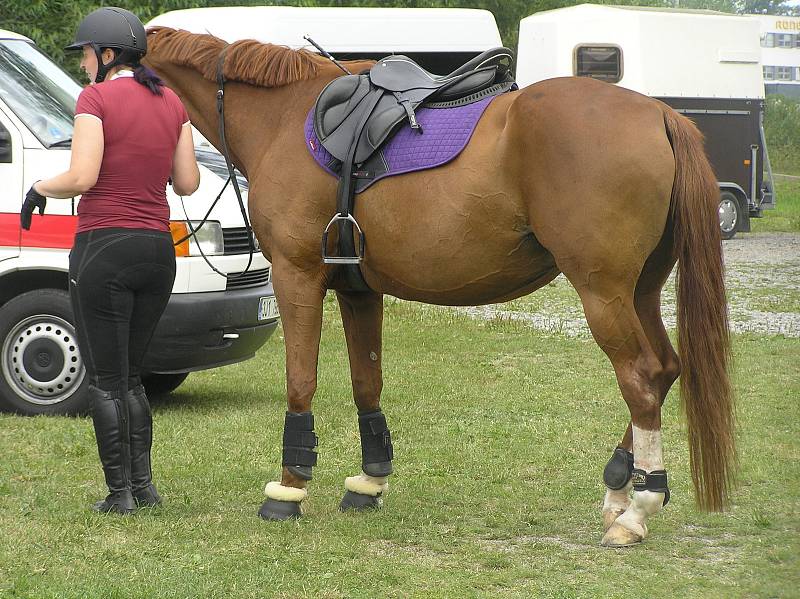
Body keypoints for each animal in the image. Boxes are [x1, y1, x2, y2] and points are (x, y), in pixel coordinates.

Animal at [142, 28, 732, 548]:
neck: (282, 117)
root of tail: (658, 113)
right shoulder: (358, 290)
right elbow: (367, 383)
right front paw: (370, 481)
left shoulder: (297, 276)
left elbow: (300, 382)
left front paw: (289, 489)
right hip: (640, 292)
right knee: (665, 369)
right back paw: (619, 490)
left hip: (602, 293)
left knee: (641, 378)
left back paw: (636, 511)